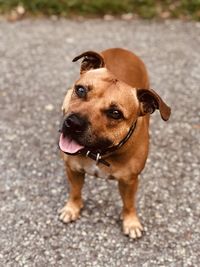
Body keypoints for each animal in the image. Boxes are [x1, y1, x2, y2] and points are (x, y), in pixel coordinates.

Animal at [57, 48, 170, 241]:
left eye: (115, 113)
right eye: (81, 90)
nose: (73, 123)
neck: (99, 153)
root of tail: (123, 49)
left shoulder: (130, 181)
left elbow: (129, 203)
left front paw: (131, 222)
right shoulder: (73, 169)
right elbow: (75, 191)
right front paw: (72, 208)